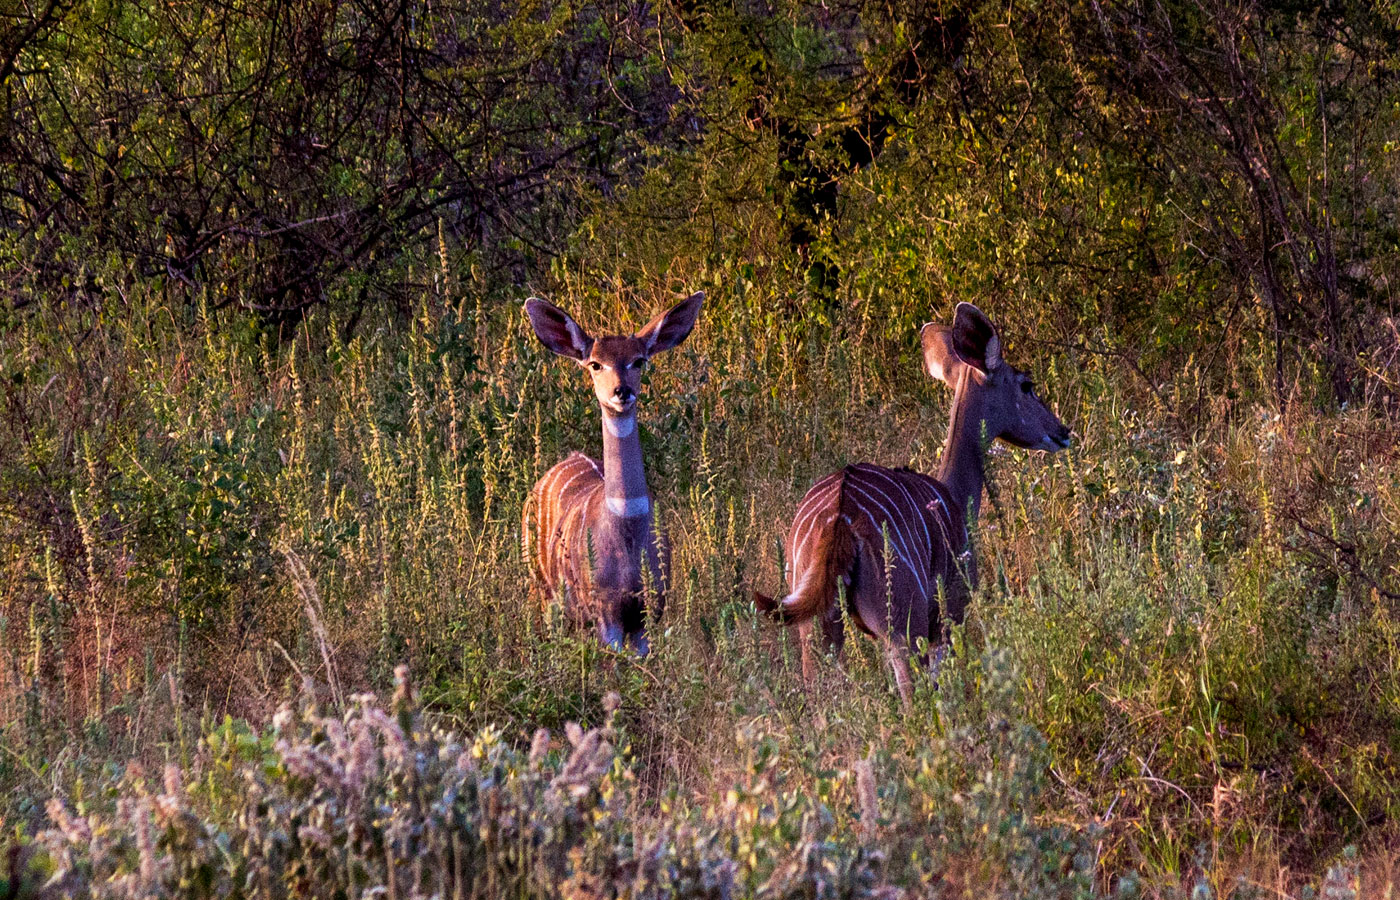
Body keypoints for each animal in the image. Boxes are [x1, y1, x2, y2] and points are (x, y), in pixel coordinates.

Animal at [520, 293, 705, 655]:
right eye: (595, 364)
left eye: (639, 361)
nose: (622, 391)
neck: (626, 530)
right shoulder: (606, 613)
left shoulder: (649, 609)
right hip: (541, 588)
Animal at [756, 306, 1069, 708]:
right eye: (1026, 384)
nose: (1062, 431)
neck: (952, 496)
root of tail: (840, 516)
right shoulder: (950, 612)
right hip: (903, 627)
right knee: (911, 698)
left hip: (817, 629)